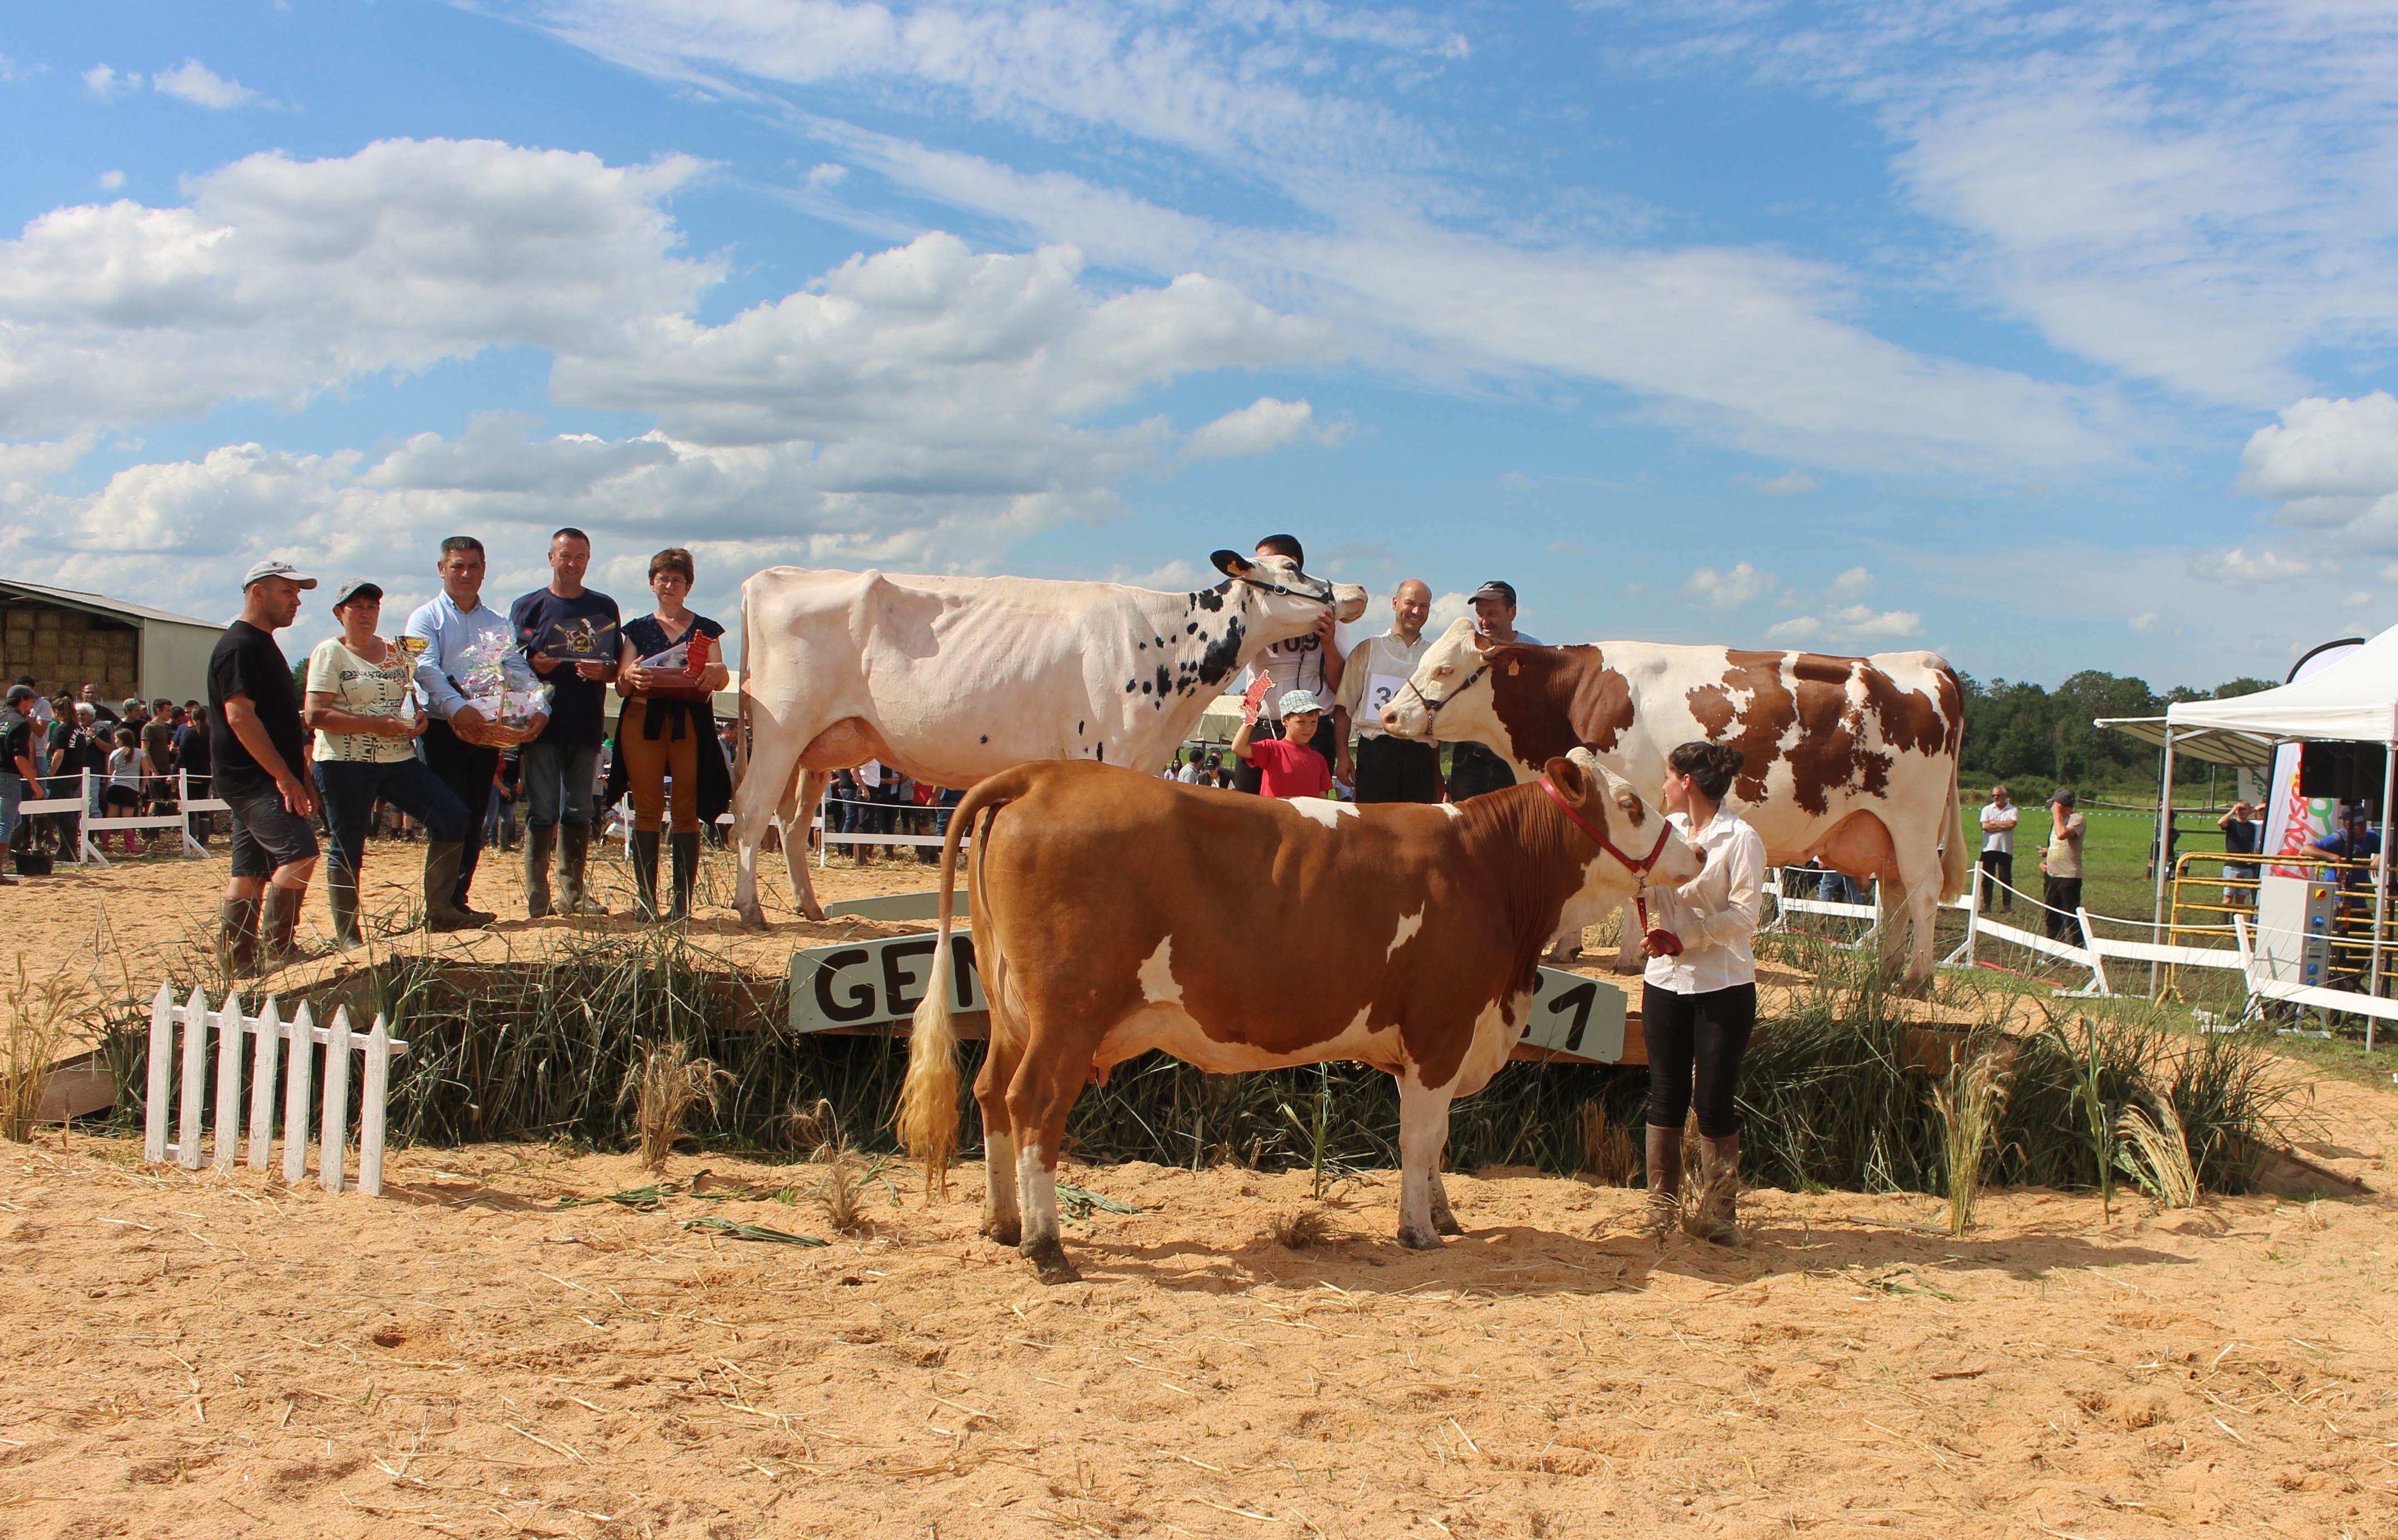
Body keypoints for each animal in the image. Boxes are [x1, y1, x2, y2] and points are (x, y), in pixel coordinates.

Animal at [729, 552, 1372, 921]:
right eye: (1290, 572)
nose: (1358, 592)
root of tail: (771, 578)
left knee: (791, 822)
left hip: (824, 745)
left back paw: (811, 908)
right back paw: (750, 909)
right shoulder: (1104, 750)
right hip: (782, 726)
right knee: (752, 809)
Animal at [896, 748, 1707, 1276]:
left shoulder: (1428, 1043)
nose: (1696, 854)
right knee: (1034, 1102)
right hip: (1068, 1014)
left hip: (1013, 1010)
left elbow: (1438, 1140)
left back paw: (1002, 1223)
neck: (1488, 869)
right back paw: (1046, 1246)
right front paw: (1418, 1231)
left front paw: (1445, 1216)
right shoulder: (1441, 1028)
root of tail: (1043, 772)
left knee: (989, 1094)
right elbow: (1420, 1138)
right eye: (1631, 804)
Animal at [1381, 619, 1957, 983]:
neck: (1575, 694)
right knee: (1897, 892)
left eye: (1444, 669)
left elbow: (1632, 879)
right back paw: (1887, 972)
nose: (1388, 715)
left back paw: (1918, 977)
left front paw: (1629, 957)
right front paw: (1566, 947)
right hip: (1883, 827)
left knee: (1924, 888)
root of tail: (1925, 663)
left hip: (1913, 817)